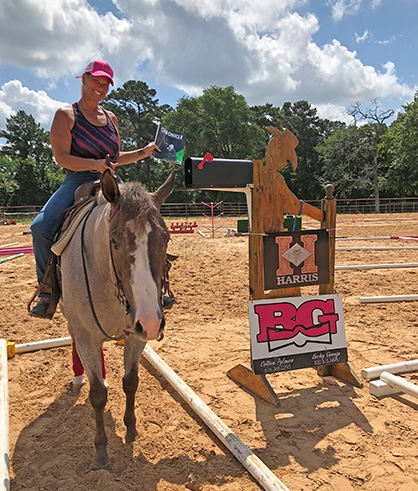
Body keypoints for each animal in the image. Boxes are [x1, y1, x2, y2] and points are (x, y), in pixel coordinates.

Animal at [59, 170, 175, 472]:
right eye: (114, 241)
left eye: (166, 239)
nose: (153, 322)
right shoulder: (87, 336)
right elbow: (98, 394)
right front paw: (101, 455)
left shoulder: (136, 334)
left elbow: (131, 381)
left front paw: (131, 430)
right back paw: (79, 376)